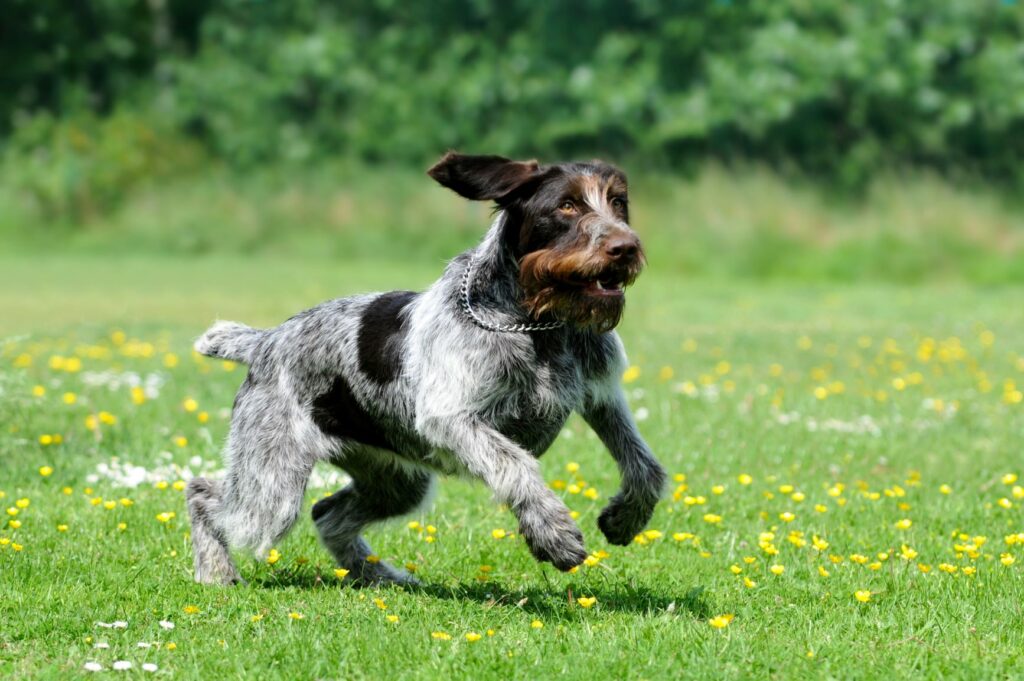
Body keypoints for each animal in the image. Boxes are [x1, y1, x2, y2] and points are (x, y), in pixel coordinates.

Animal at [187, 150, 667, 585]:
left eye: (618, 202)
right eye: (567, 206)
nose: (625, 247)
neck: (538, 322)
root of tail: (264, 342)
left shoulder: (602, 397)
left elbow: (646, 466)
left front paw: (625, 517)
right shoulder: (452, 419)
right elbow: (516, 464)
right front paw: (553, 533)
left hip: (394, 480)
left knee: (327, 513)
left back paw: (378, 576)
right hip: (274, 482)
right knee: (203, 495)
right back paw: (217, 573)